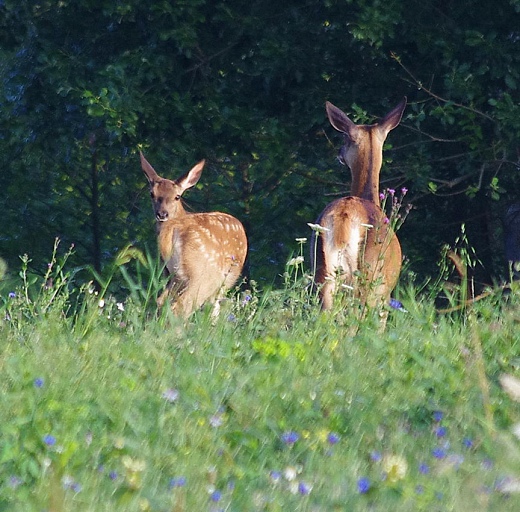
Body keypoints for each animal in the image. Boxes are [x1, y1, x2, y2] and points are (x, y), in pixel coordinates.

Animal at [141, 152, 249, 316]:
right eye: (152, 194)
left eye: (177, 196)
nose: (162, 214)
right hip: (205, 275)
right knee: (183, 306)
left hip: (172, 275)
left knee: (161, 301)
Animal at [308, 97, 406, 312]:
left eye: (344, 140)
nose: (339, 153)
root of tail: (343, 216)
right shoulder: (384, 295)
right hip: (370, 277)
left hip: (321, 267)